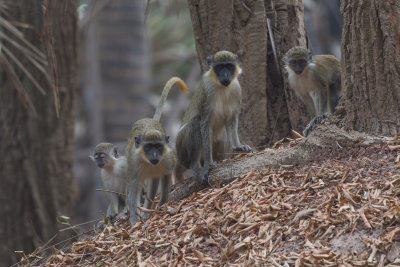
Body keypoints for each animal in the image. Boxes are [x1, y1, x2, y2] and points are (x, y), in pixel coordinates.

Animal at [125, 77, 188, 226]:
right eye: (148, 147)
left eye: (158, 147)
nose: (154, 155)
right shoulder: (134, 163)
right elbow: (133, 185)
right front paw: (134, 220)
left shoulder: (167, 158)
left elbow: (166, 173)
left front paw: (162, 202)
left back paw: (147, 211)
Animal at [175, 51, 250, 186]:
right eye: (220, 67)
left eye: (229, 66)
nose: (225, 75)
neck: (222, 88)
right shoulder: (206, 92)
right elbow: (204, 123)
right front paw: (209, 163)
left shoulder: (237, 90)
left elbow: (231, 120)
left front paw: (238, 146)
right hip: (181, 148)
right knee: (196, 122)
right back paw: (197, 167)